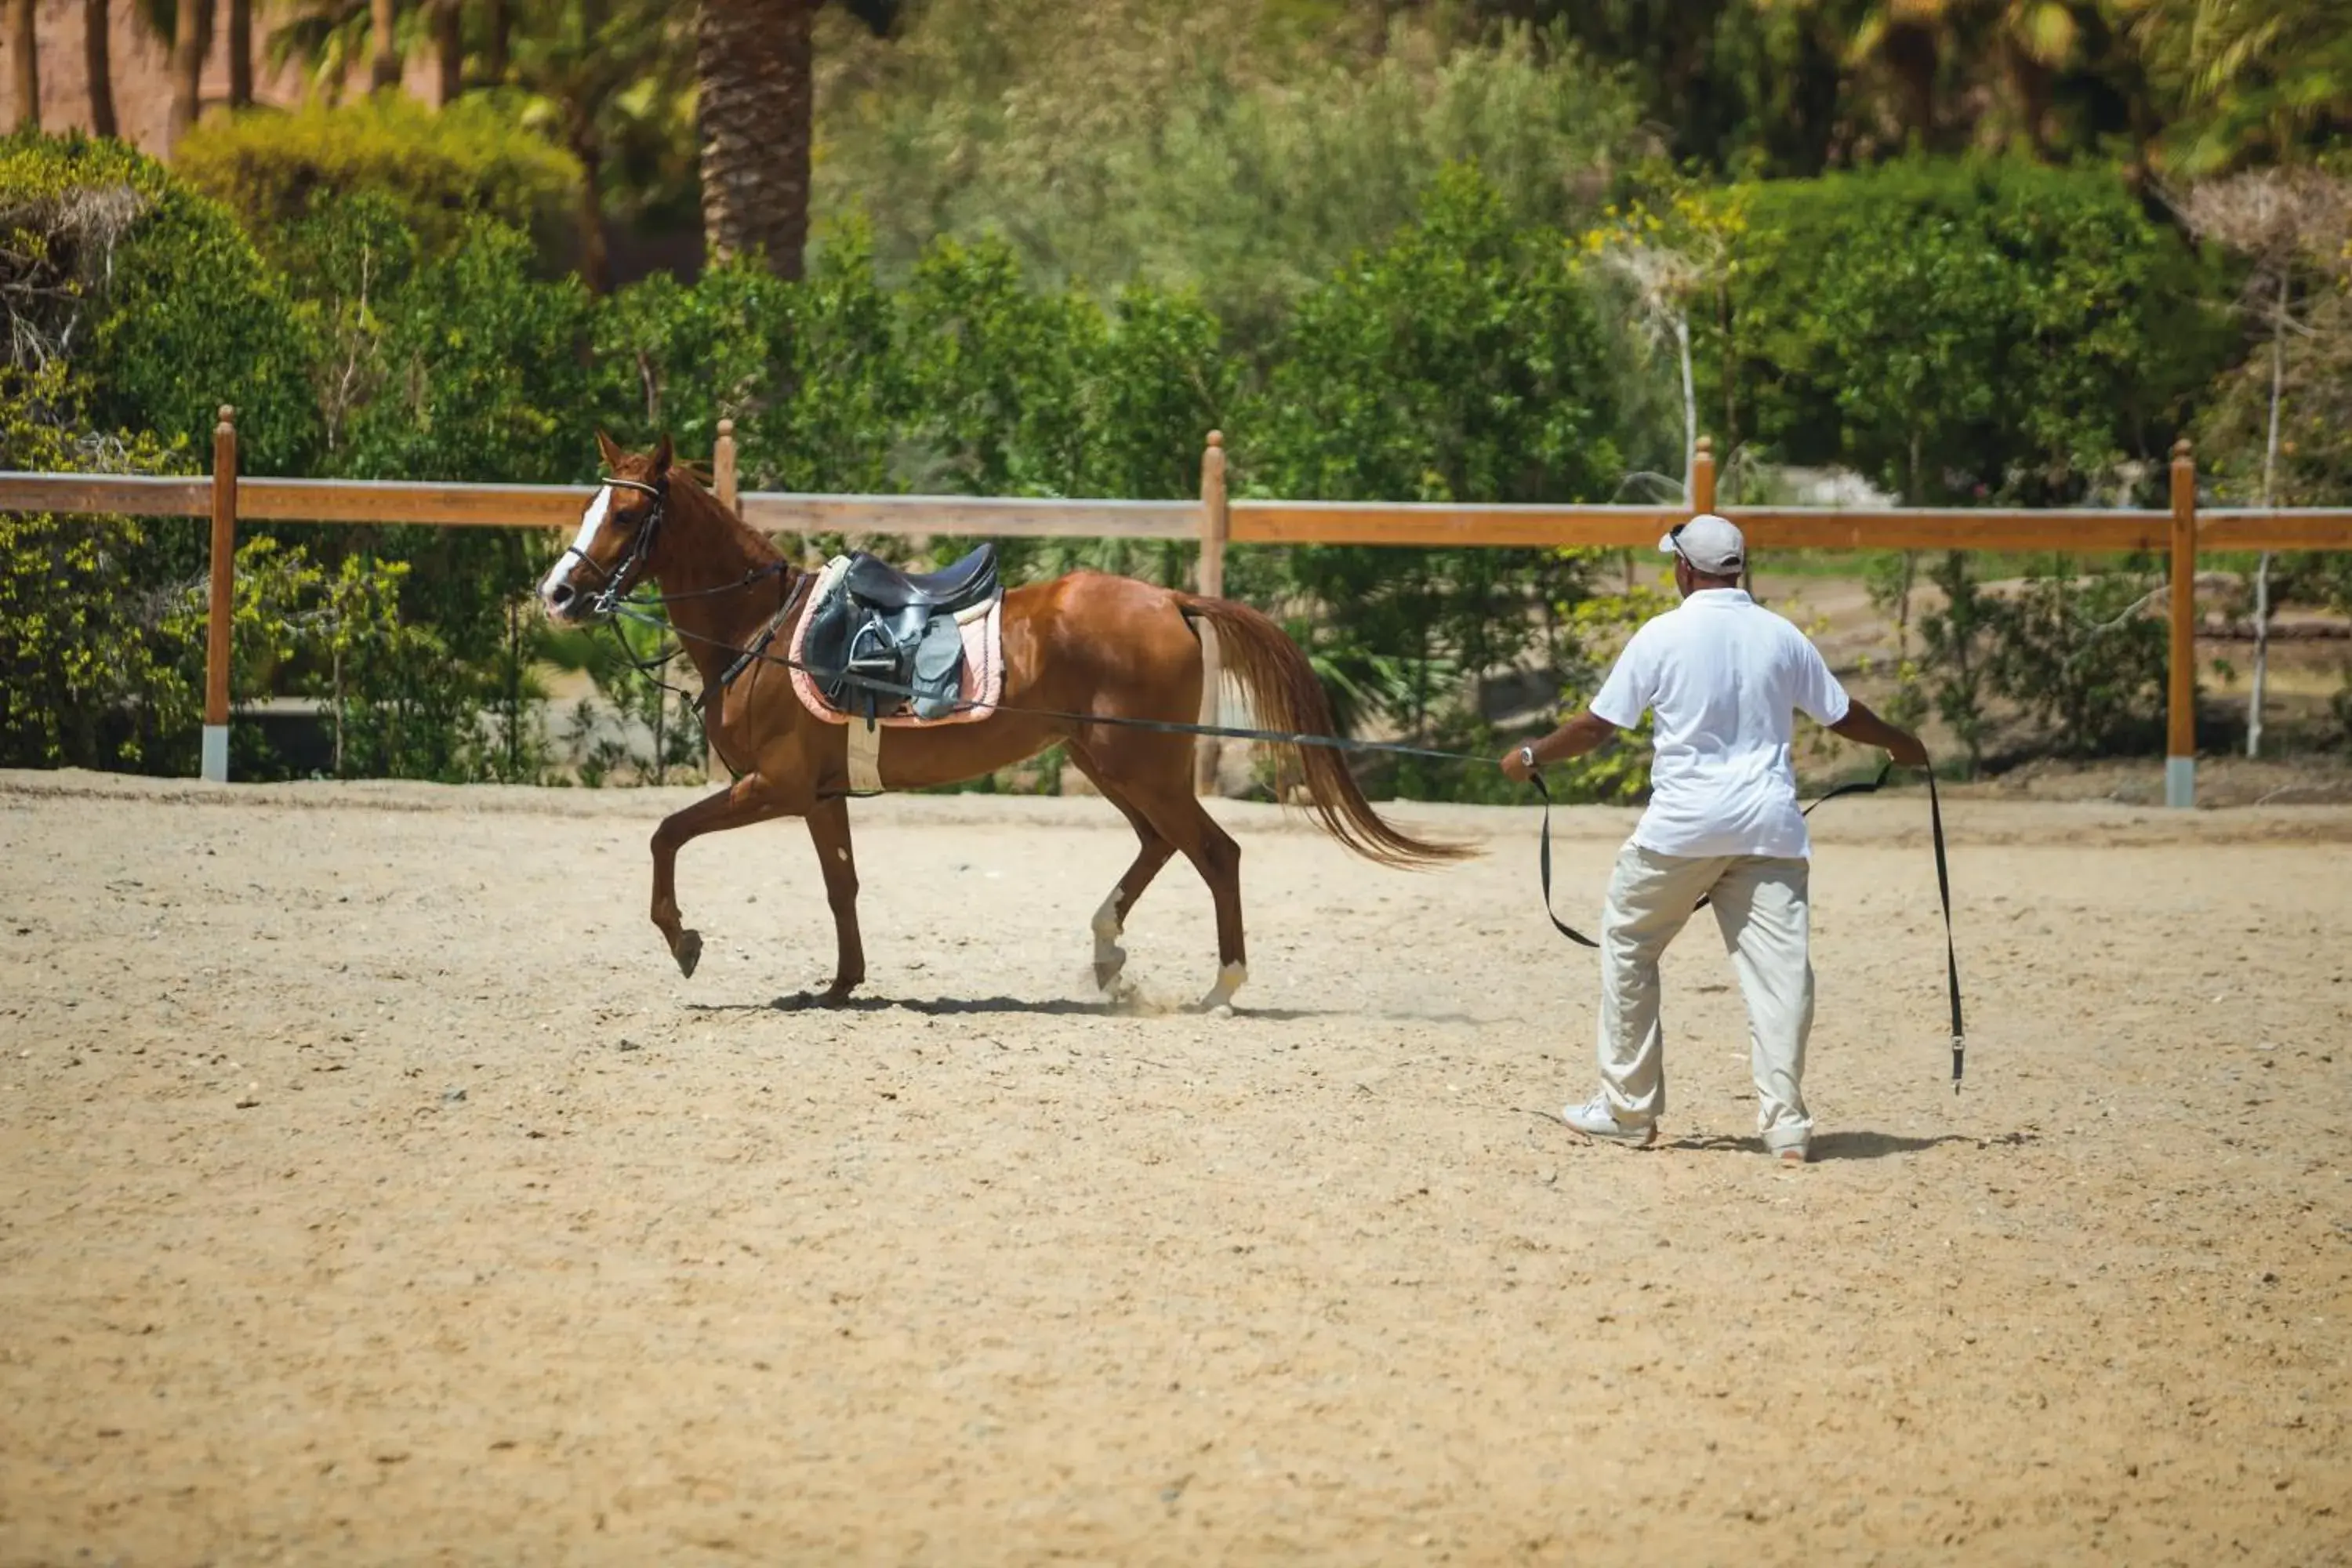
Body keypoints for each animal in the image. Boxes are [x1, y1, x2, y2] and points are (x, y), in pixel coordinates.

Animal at [541, 434, 1458, 1011]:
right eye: (590, 508)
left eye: (626, 517)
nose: (557, 594)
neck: (764, 631)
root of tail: (1169, 598)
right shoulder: (820, 795)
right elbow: (841, 885)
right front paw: (841, 984)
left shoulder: (774, 786)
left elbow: (665, 833)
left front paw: (683, 941)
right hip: (1108, 763)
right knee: (1162, 846)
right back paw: (1108, 953)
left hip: (1141, 766)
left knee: (1213, 852)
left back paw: (1220, 987)